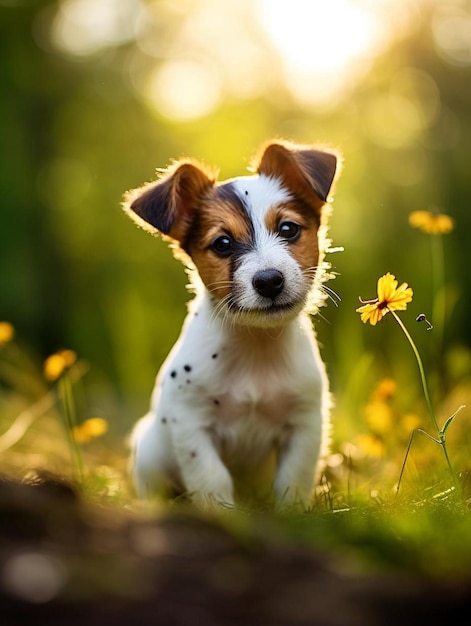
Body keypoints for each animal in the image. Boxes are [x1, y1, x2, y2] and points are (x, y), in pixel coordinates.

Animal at [123, 139, 342, 504]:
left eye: (288, 229)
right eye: (222, 244)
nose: (269, 281)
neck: (255, 346)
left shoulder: (305, 422)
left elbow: (293, 479)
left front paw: (292, 511)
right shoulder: (191, 423)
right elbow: (212, 479)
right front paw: (224, 513)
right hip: (151, 454)